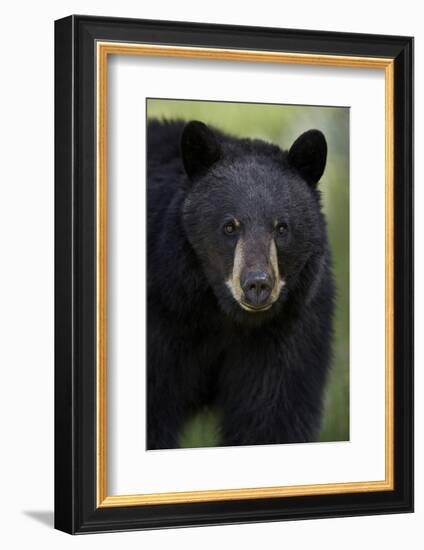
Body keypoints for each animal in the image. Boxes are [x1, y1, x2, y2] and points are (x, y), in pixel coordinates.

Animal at [147, 118, 332, 450]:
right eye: (230, 226)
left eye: (281, 228)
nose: (257, 285)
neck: (222, 315)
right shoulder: (162, 312)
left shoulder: (291, 327)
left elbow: (272, 414)